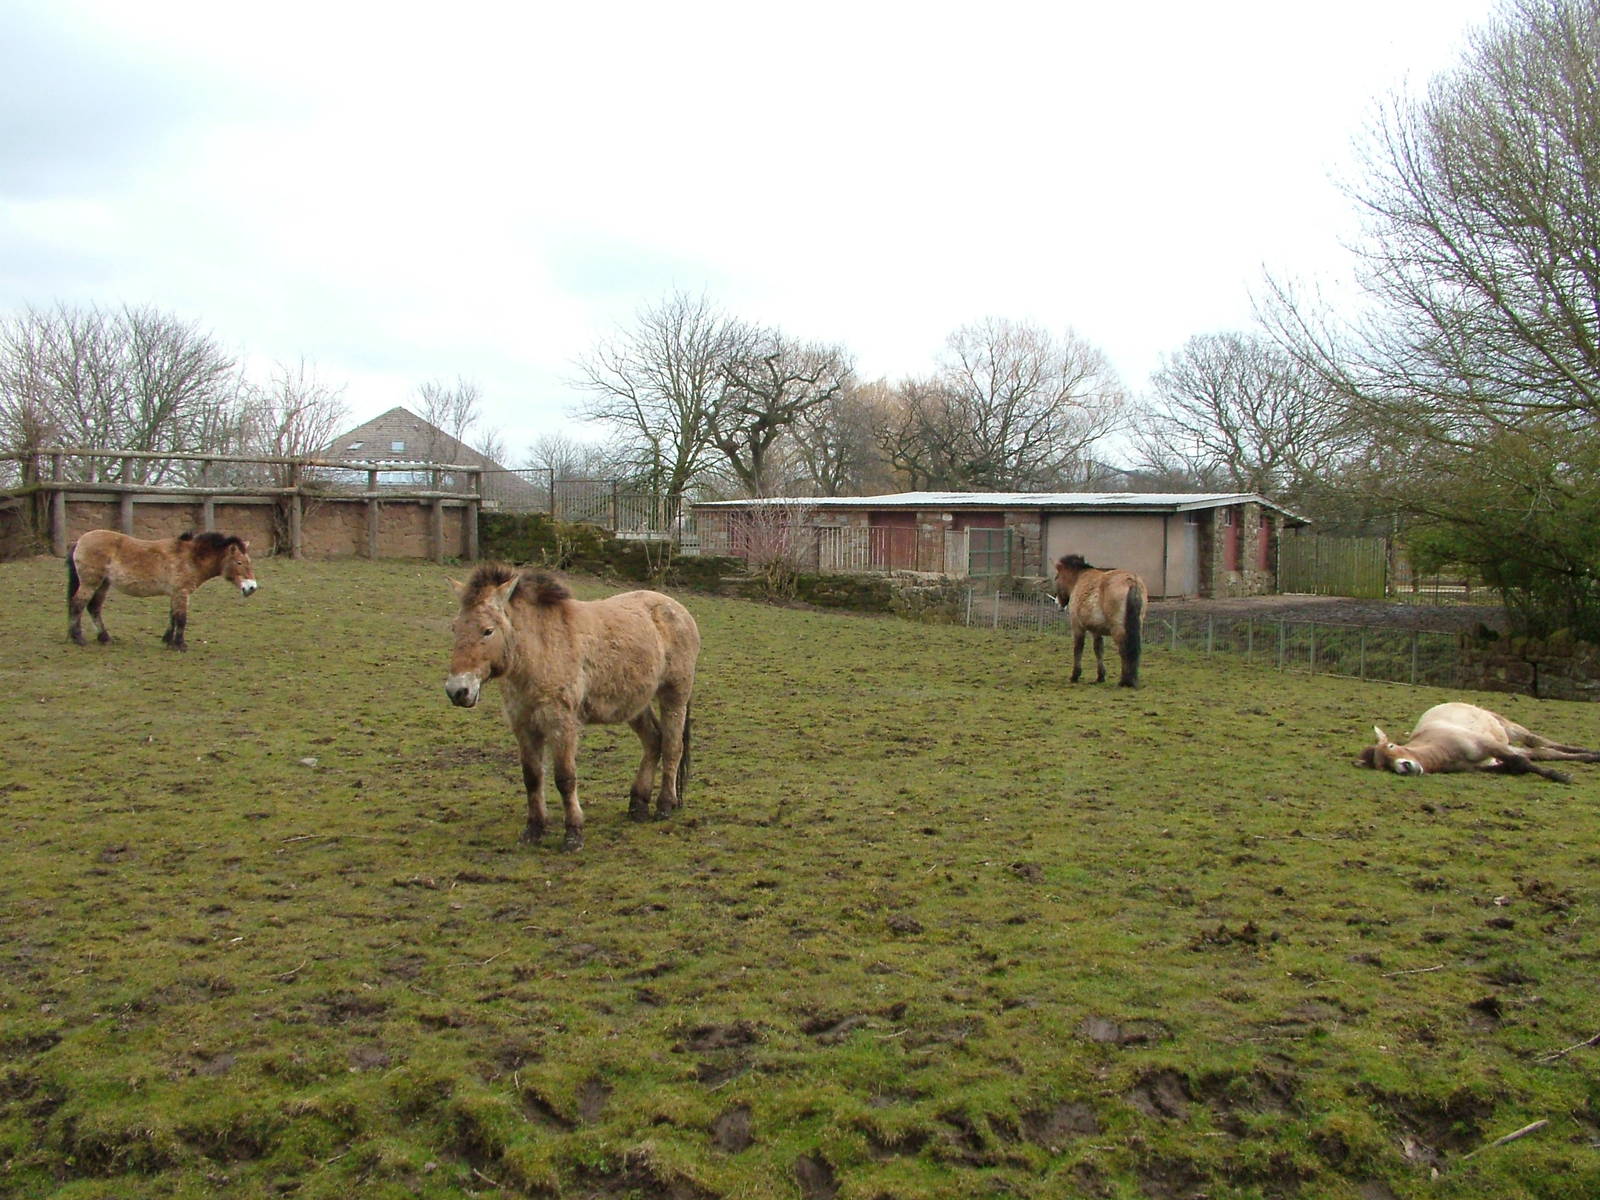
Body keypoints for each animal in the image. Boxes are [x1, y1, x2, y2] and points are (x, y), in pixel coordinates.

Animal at [67, 529, 258, 651]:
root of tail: (79, 541)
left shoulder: (175, 594)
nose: (252, 587)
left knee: (94, 608)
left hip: (103, 584)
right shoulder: (182, 592)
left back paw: (104, 638)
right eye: (239, 562)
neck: (190, 558)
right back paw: (78, 638)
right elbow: (181, 618)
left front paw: (168, 641)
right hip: (90, 583)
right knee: (78, 604)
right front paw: (180, 645)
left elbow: (172, 617)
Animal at [444, 564, 701, 851]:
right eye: (455, 628)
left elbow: (565, 778)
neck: (540, 649)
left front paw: (573, 833)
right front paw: (534, 829)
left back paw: (665, 805)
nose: (457, 691)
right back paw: (638, 805)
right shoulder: (524, 726)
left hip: (674, 696)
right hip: (635, 703)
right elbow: (532, 777)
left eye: (488, 630)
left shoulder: (562, 724)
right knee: (654, 741)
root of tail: (676, 607)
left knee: (672, 747)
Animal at [1052, 553, 1147, 687]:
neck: (1079, 578)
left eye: (1057, 577)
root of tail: (1131, 581)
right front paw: (1100, 676)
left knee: (1124, 649)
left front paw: (1075, 675)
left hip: (1118, 629)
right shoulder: (1096, 630)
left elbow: (1078, 648)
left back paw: (1125, 681)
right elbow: (1098, 650)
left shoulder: (1077, 626)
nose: (1057, 602)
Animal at [1358, 702, 1600, 783]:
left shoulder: (1488, 745)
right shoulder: (1485, 765)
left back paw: (1589, 752)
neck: (1443, 748)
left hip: (1509, 729)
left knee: (1537, 740)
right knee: (1544, 752)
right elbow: (1518, 765)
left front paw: (1562, 776)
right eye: (1383, 766)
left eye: (1391, 746)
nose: (1405, 767)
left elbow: (1520, 762)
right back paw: (1589, 756)